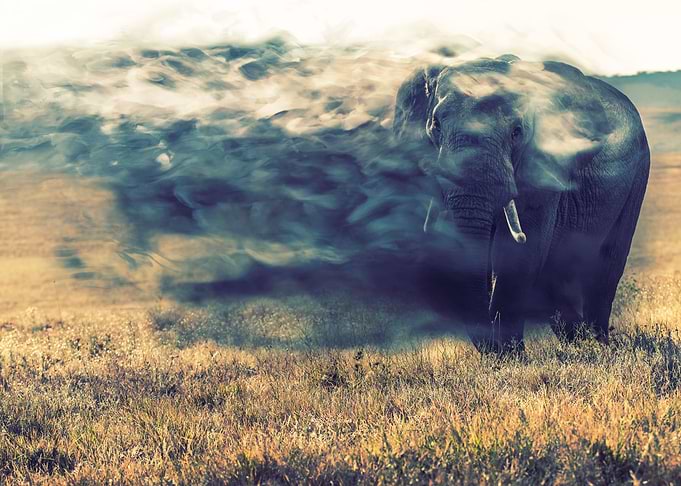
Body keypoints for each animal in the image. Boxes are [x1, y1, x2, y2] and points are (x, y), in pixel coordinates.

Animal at [393, 55, 650, 353]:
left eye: (517, 132)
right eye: (435, 125)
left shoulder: (545, 167)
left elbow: (520, 253)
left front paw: (511, 357)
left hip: (639, 172)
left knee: (607, 263)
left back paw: (599, 345)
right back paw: (580, 341)